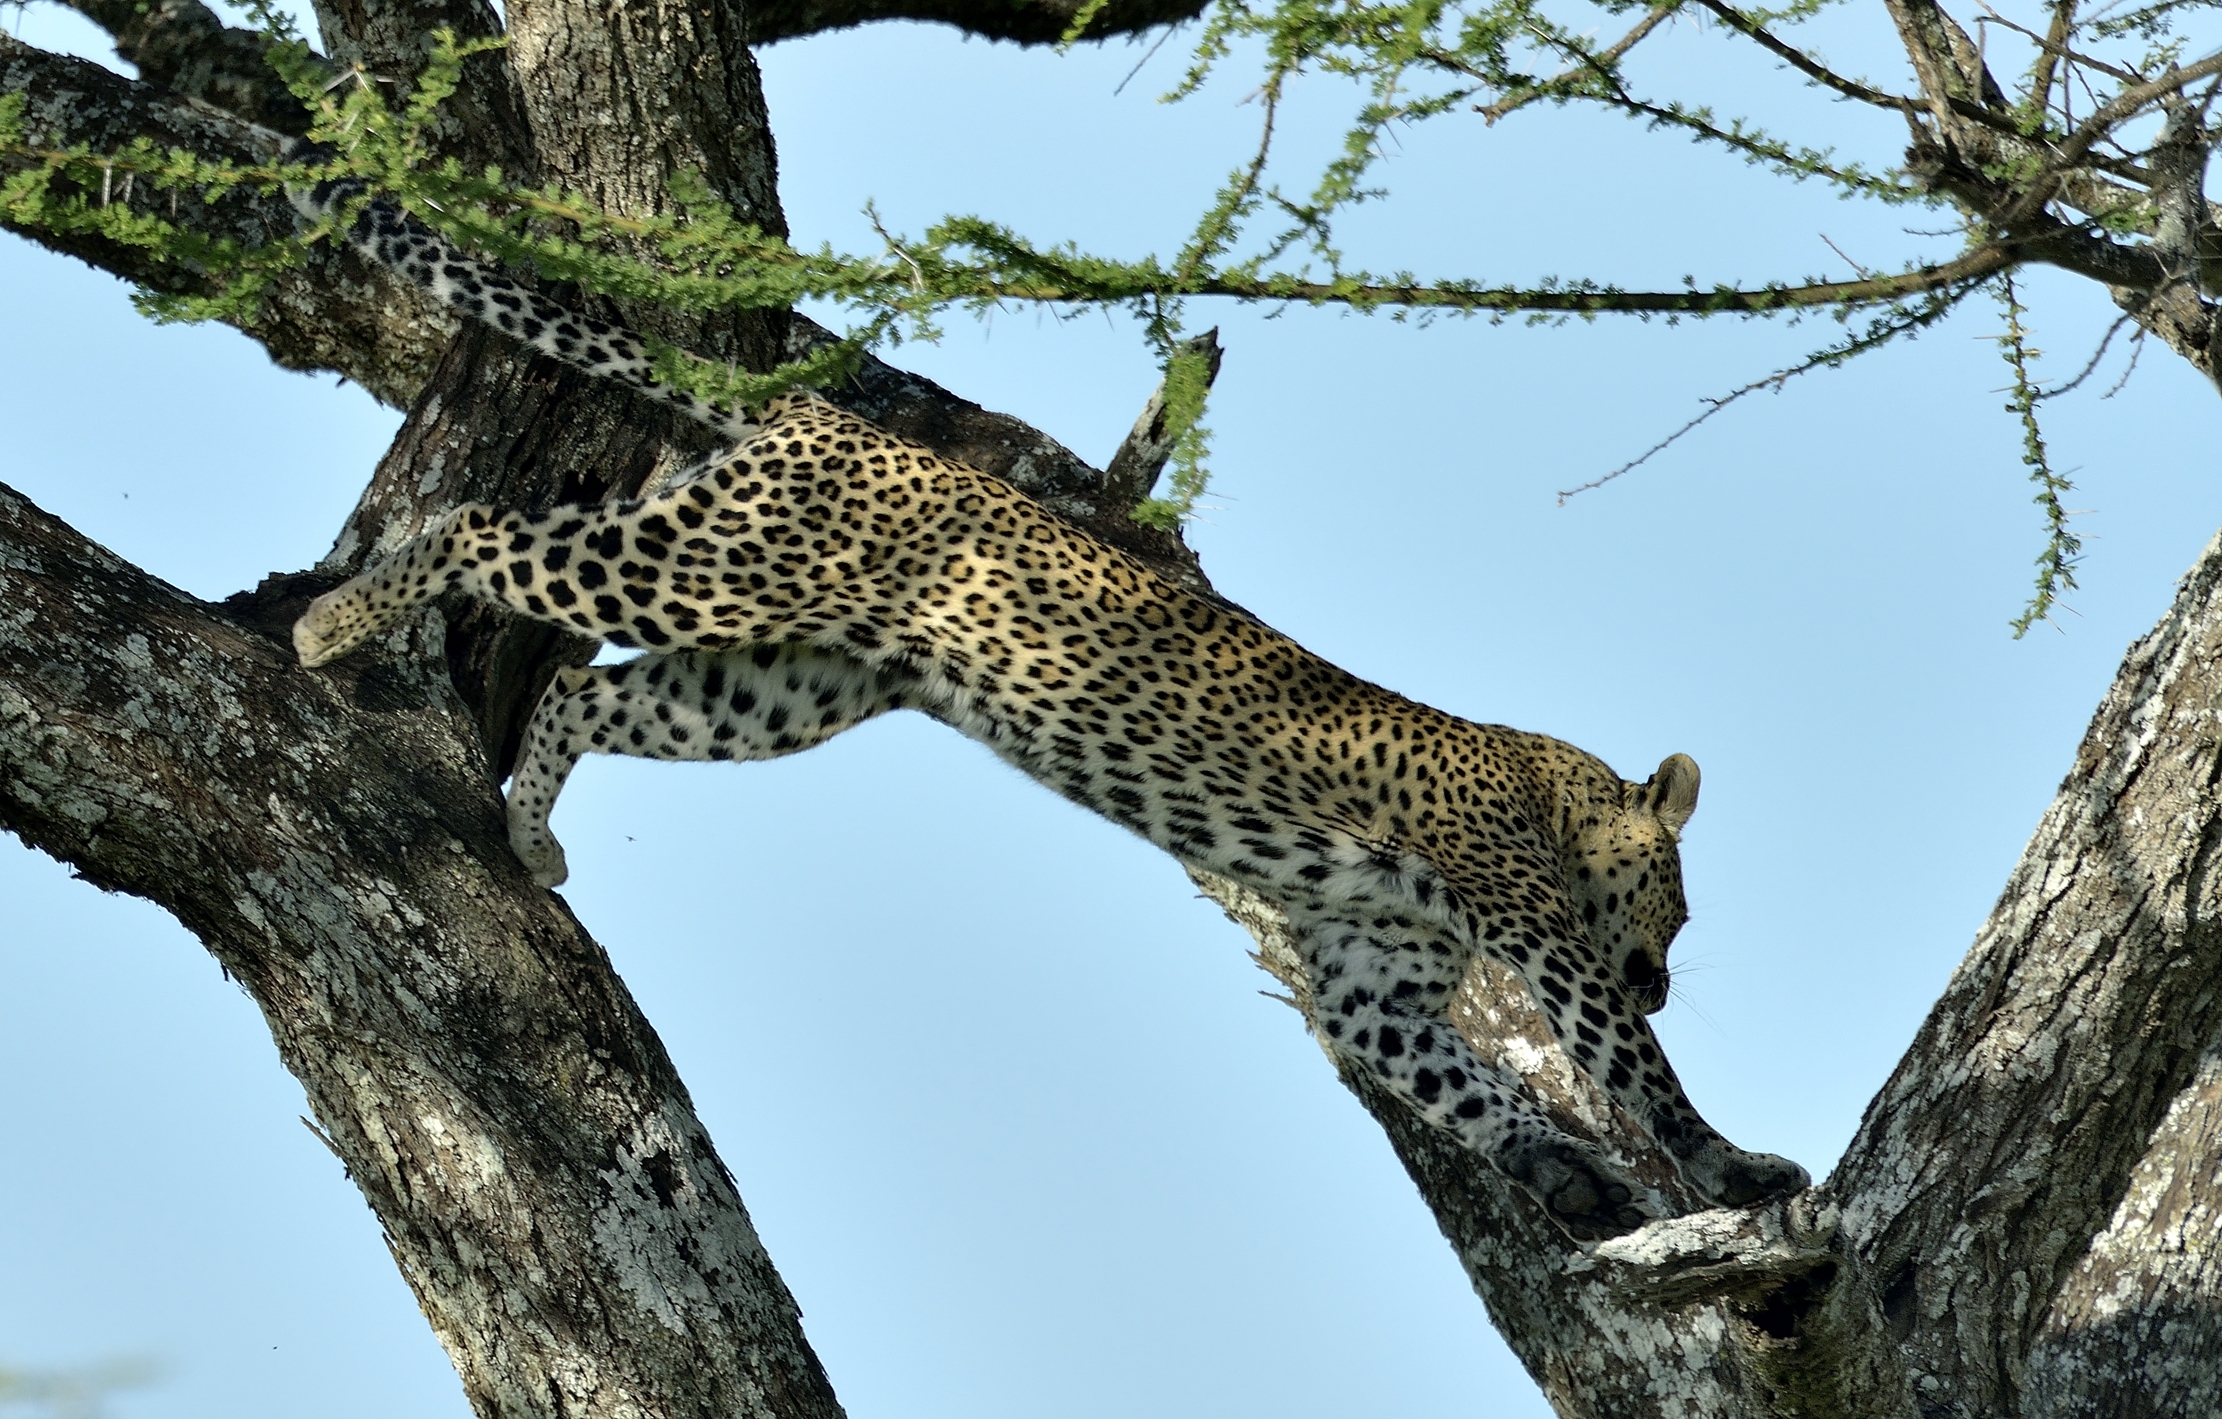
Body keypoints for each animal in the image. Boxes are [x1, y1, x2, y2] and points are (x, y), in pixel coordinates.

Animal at [286, 168, 1808, 1240]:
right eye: (1674, 908)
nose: (1664, 967)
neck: (1552, 789)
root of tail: (817, 415)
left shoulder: (1370, 983)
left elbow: (1470, 1087)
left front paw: (1568, 1178)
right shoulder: (1534, 931)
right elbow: (1633, 1067)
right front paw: (1733, 1166)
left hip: (778, 684)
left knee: (587, 694)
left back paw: (529, 831)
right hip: (706, 574)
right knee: (485, 529)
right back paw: (331, 622)